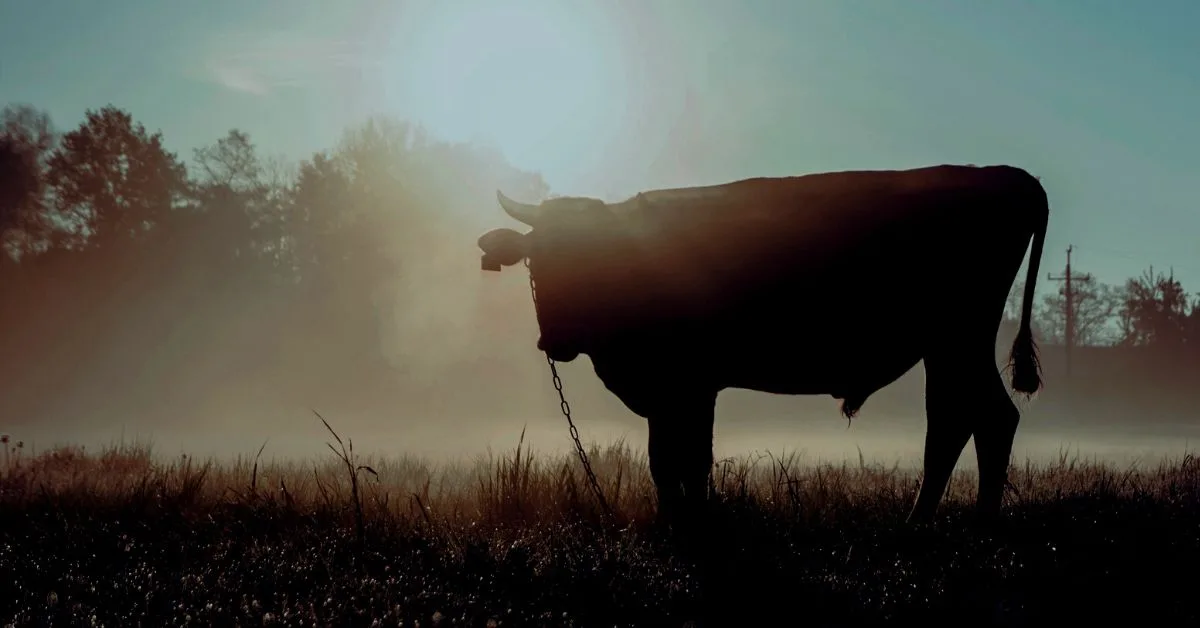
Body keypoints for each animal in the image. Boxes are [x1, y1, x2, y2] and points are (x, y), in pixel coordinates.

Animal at [477, 164, 1048, 526]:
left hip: (958, 340)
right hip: (950, 347)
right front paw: (677, 521)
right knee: (966, 421)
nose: (555, 338)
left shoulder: (689, 385)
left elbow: (686, 460)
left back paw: (958, 522)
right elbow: (670, 461)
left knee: (978, 421)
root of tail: (1009, 176)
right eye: (538, 258)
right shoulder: (673, 392)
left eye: (593, 255)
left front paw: (690, 524)